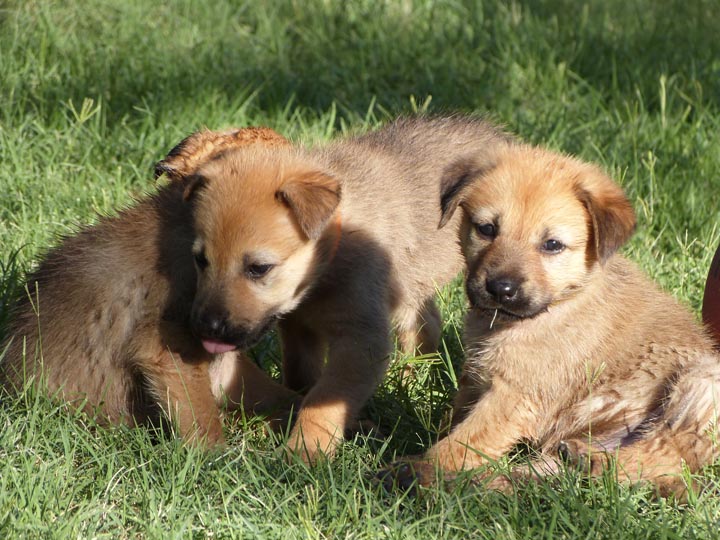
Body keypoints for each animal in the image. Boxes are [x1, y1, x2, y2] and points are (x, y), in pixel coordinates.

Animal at [184, 116, 512, 462]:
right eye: (201, 260)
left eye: (259, 268)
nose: (206, 328)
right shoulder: (299, 329)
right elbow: (302, 380)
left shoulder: (360, 339)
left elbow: (323, 399)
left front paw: (304, 451)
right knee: (425, 326)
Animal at [380, 144, 716, 498]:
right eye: (486, 229)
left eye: (552, 244)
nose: (500, 289)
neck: (559, 304)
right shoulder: (477, 377)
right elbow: (457, 420)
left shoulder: (514, 396)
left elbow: (464, 441)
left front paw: (425, 467)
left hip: (702, 382)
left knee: (672, 450)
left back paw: (596, 462)